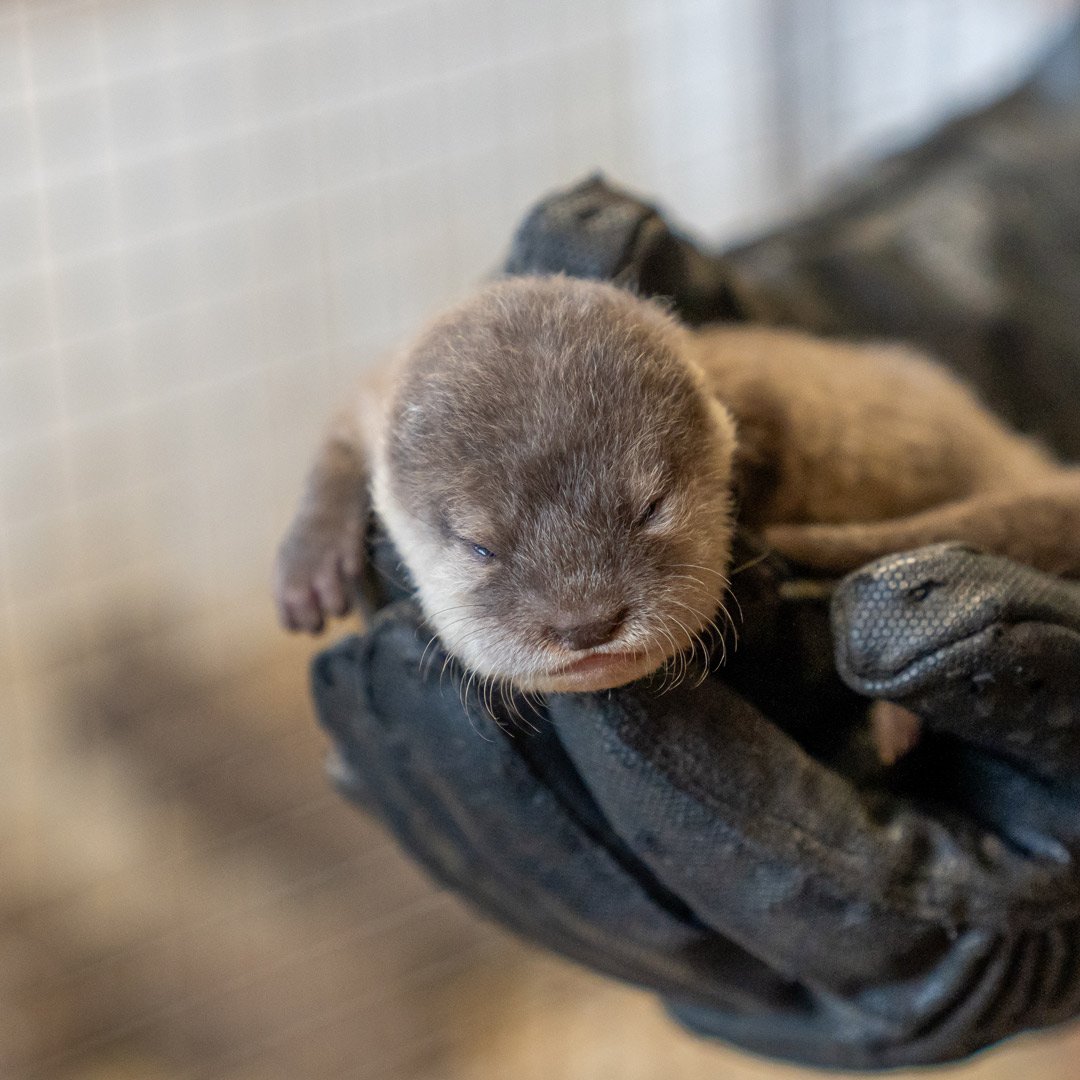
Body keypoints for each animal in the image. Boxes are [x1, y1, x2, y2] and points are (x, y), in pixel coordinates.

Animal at [275, 275, 1071, 718]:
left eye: (652, 507)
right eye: (479, 547)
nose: (587, 623)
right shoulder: (374, 394)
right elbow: (336, 444)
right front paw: (309, 566)